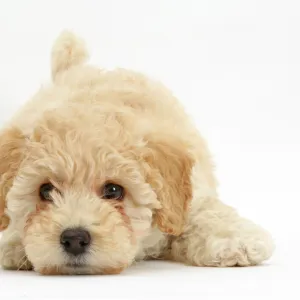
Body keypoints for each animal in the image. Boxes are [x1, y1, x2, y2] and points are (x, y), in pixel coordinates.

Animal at [0, 31, 274, 276]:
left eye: (114, 190)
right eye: (45, 190)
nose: (74, 238)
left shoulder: (194, 195)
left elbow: (207, 213)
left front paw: (234, 241)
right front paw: (14, 244)